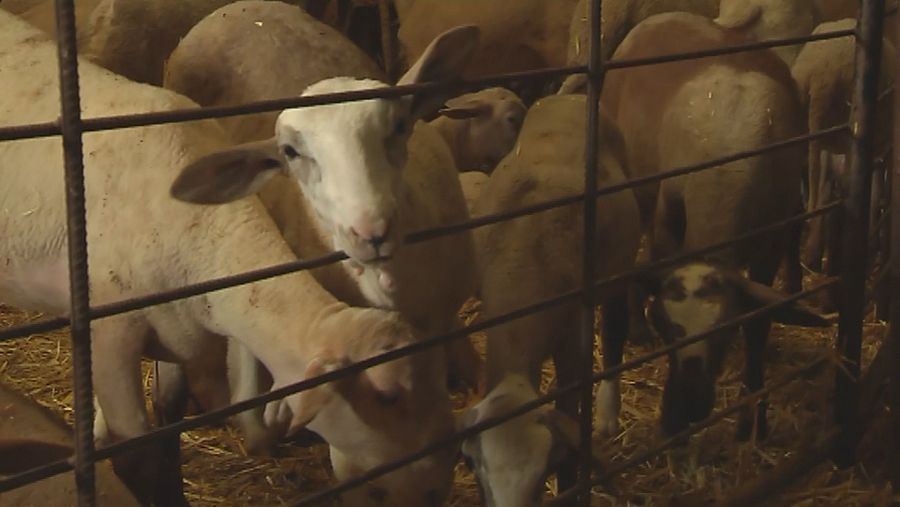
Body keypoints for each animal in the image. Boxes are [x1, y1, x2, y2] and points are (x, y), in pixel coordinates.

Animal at [458, 95, 648, 507]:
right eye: (477, 470)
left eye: (540, 474)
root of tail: (570, 96)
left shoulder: (572, 344)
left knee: (613, 325)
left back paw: (608, 411)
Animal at [600, 11, 820, 440]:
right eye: (665, 325)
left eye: (724, 331)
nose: (680, 413)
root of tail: (663, 15)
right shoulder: (669, 224)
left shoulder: (772, 238)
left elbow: (758, 325)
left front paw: (753, 418)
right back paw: (633, 327)